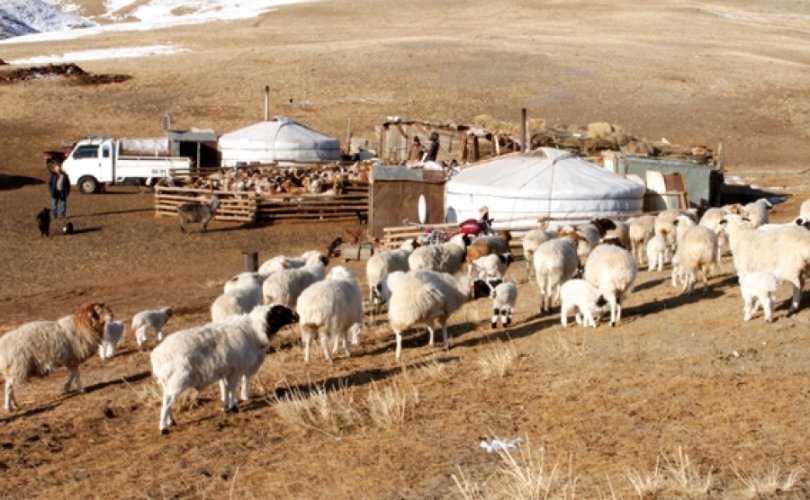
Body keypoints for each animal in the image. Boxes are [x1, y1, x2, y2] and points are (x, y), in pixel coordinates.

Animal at [150, 302, 298, 432]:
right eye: (280, 311)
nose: (297, 316)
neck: (253, 331)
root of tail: (157, 355)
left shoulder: (226, 370)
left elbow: (226, 388)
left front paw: (226, 407)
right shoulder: (236, 369)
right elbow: (232, 388)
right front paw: (233, 407)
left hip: (168, 381)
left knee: (167, 398)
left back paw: (171, 421)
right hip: (178, 378)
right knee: (167, 401)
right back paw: (163, 427)